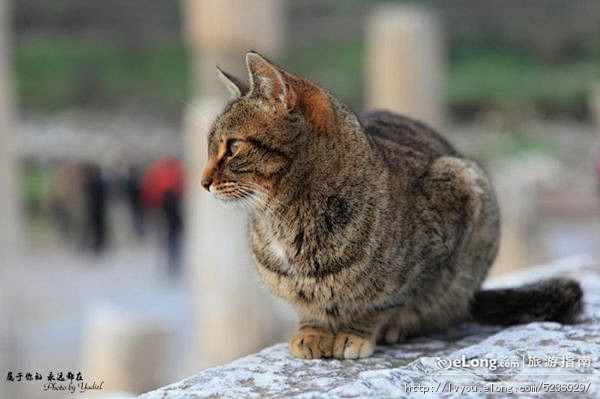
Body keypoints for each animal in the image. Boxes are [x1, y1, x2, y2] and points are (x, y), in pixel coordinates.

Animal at [200, 51, 580, 360]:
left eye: (233, 147)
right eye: (210, 148)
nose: (202, 182)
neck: (286, 217)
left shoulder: (448, 215)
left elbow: (383, 302)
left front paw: (358, 332)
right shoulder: (294, 289)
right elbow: (309, 307)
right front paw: (314, 331)